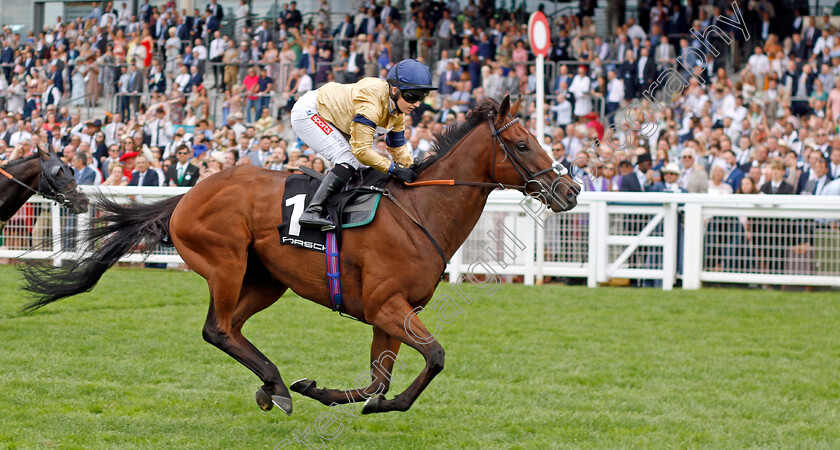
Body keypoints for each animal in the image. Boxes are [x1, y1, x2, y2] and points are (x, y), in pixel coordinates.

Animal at [23, 97, 580, 414]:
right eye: (523, 144)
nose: (571, 190)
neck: (420, 211)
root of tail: (189, 194)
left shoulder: (393, 313)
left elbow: (375, 380)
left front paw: (327, 392)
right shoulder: (387, 306)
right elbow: (433, 359)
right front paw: (381, 404)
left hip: (267, 279)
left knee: (232, 329)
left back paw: (271, 387)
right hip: (225, 262)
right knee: (217, 329)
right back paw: (276, 384)